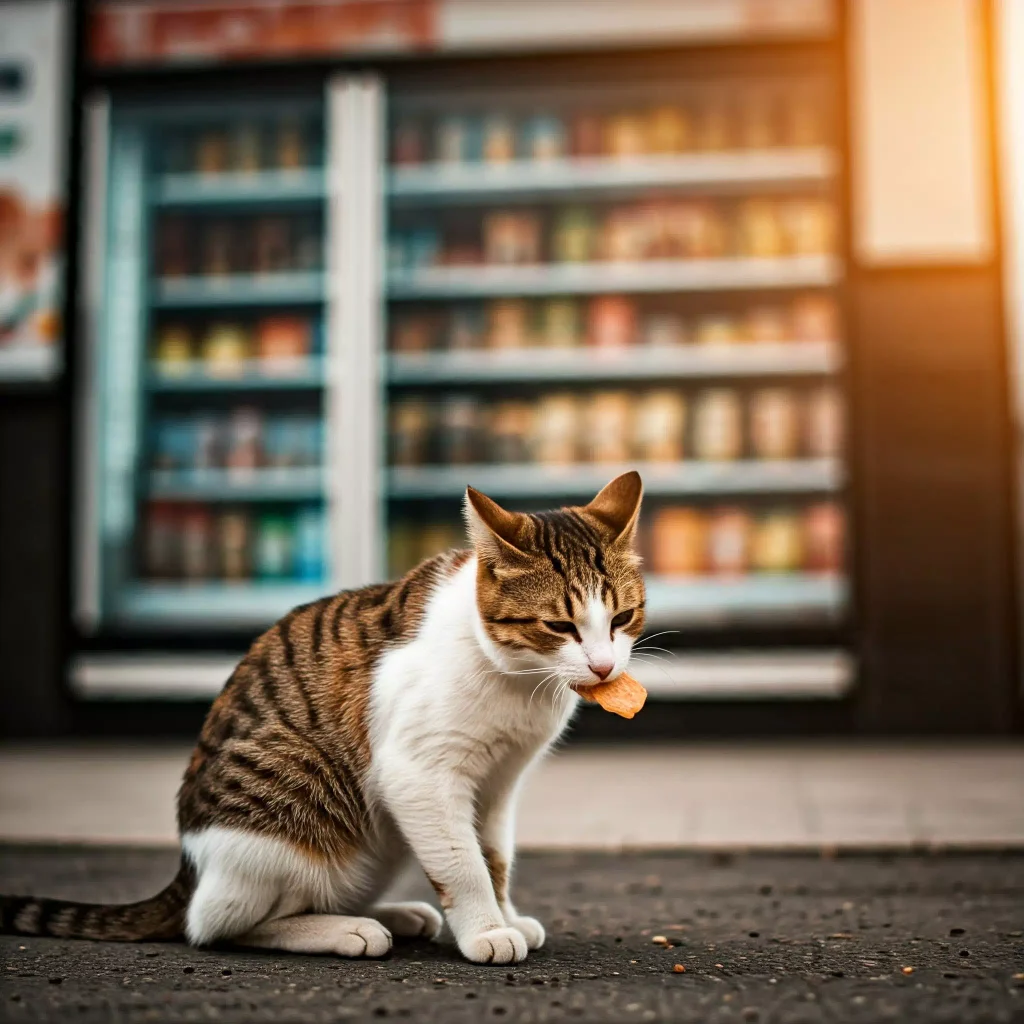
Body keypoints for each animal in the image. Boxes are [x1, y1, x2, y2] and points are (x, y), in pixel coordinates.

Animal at [0, 471, 643, 966]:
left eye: (622, 617)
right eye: (558, 626)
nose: (605, 666)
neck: (519, 680)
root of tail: (191, 865)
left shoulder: (499, 783)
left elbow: (495, 857)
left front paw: (505, 914)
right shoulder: (418, 774)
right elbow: (463, 863)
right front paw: (486, 930)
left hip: (380, 842)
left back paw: (392, 913)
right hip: (297, 803)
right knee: (216, 924)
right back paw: (344, 929)